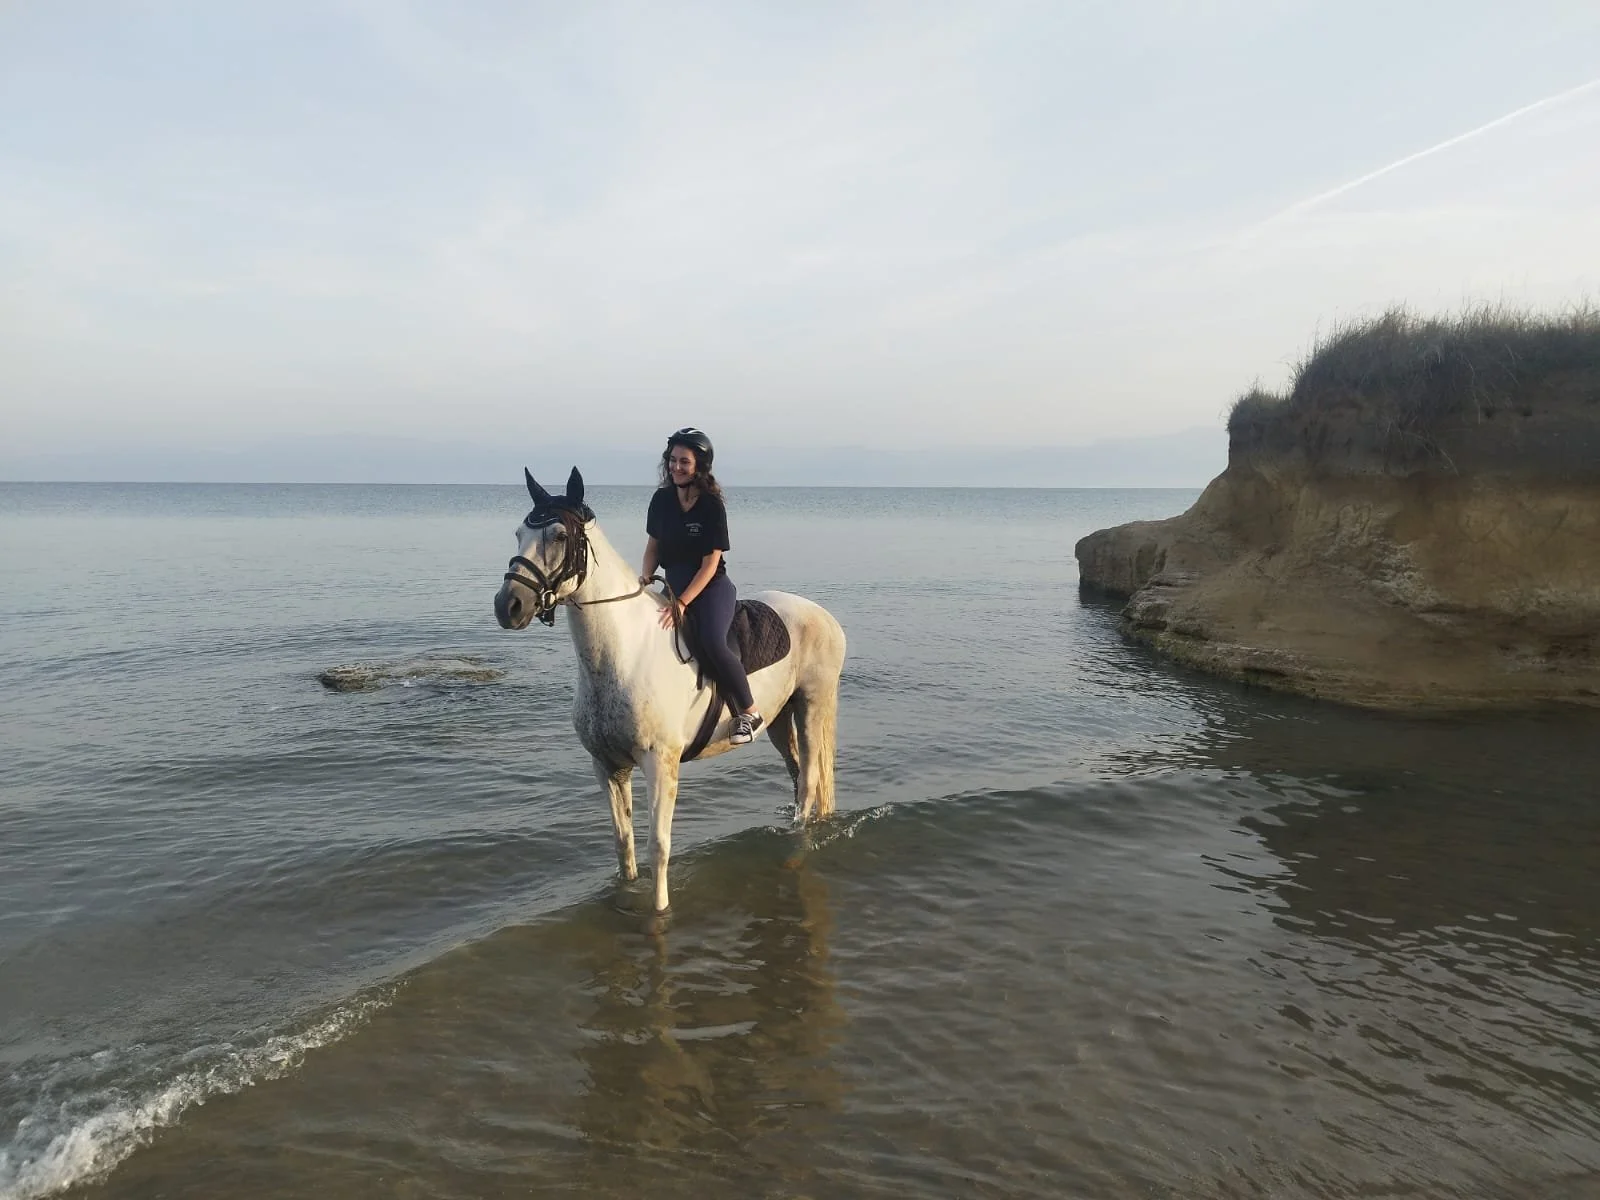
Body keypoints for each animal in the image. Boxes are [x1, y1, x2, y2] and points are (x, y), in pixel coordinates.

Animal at [493, 467, 847, 913]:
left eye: (559, 535)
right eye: (518, 533)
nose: (508, 606)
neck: (623, 654)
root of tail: (824, 616)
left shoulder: (660, 764)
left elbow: (658, 847)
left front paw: (659, 912)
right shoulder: (607, 767)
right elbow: (623, 844)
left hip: (812, 706)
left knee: (810, 782)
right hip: (781, 719)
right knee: (799, 775)